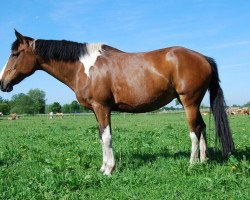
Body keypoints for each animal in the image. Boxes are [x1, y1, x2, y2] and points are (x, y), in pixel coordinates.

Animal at [0, 29, 234, 175]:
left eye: (15, 53)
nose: (3, 83)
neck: (85, 66)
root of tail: (204, 58)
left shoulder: (102, 107)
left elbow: (106, 137)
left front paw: (108, 169)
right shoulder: (97, 111)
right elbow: (101, 137)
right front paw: (103, 166)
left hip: (189, 102)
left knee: (194, 131)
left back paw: (192, 164)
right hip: (194, 103)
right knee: (201, 127)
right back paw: (203, 161)